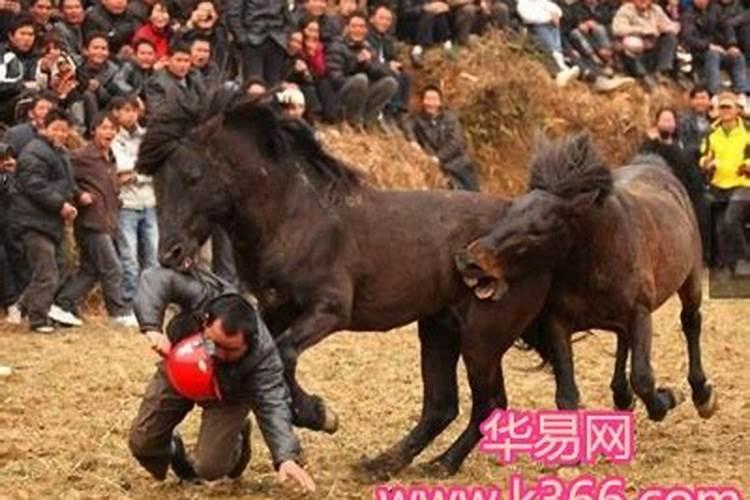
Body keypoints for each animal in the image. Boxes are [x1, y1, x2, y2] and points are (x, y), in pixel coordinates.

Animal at [138, 90, 552, 476]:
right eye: (155, 181)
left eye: (192, 177)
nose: (169, 253)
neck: (293, 218)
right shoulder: (273, 309)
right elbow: (274, 357)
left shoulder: (330, 309)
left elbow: (286, 352)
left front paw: (318, 414)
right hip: (440, 328)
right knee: (442, 406)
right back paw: (383, 464)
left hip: (482, 337)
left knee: (488, 403)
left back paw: (441, 465)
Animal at [456, 134, 720, 422]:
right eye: (510, 213)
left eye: (538, 230)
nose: (470, 261)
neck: (593, 261)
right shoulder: (557, 322)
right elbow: (566, 396)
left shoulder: (640, 313)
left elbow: (643, 378)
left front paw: (668, 399)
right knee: (623, 338)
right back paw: (622, 395)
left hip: (690, 280)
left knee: (690, 321)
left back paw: (701, 395)